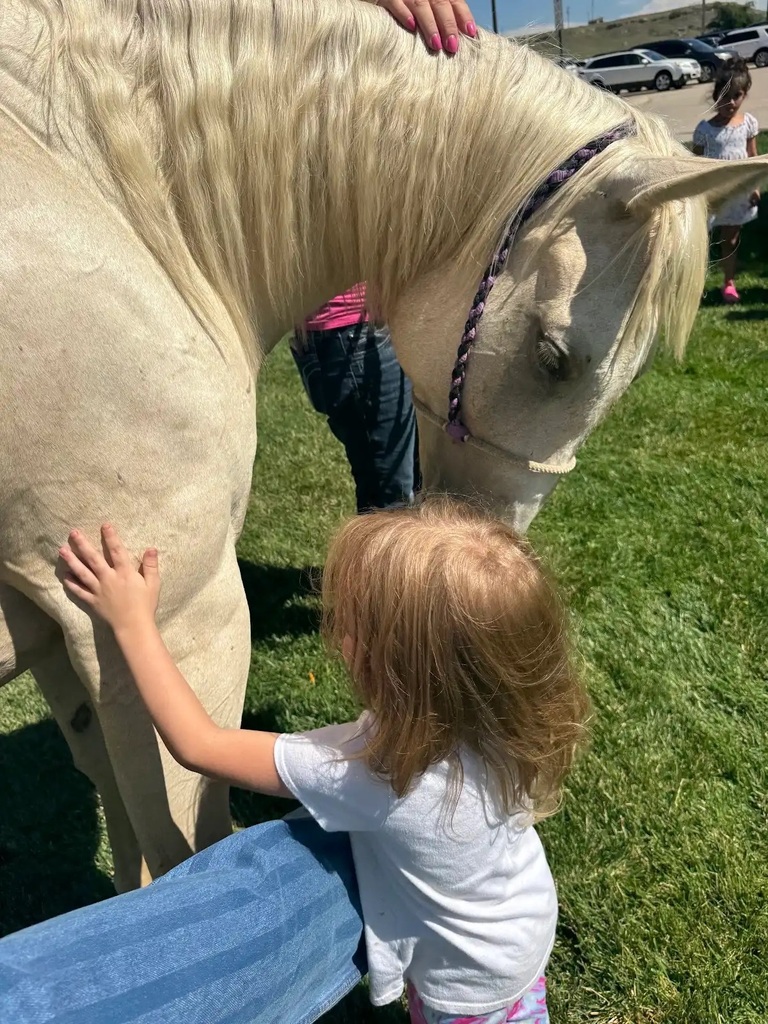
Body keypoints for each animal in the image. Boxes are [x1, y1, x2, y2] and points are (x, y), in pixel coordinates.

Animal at [1, 0, 766, 897]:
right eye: (553, 357)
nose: (493, 537)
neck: (120, 204)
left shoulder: (65, 639)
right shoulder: (180, 618)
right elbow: (186, 851)